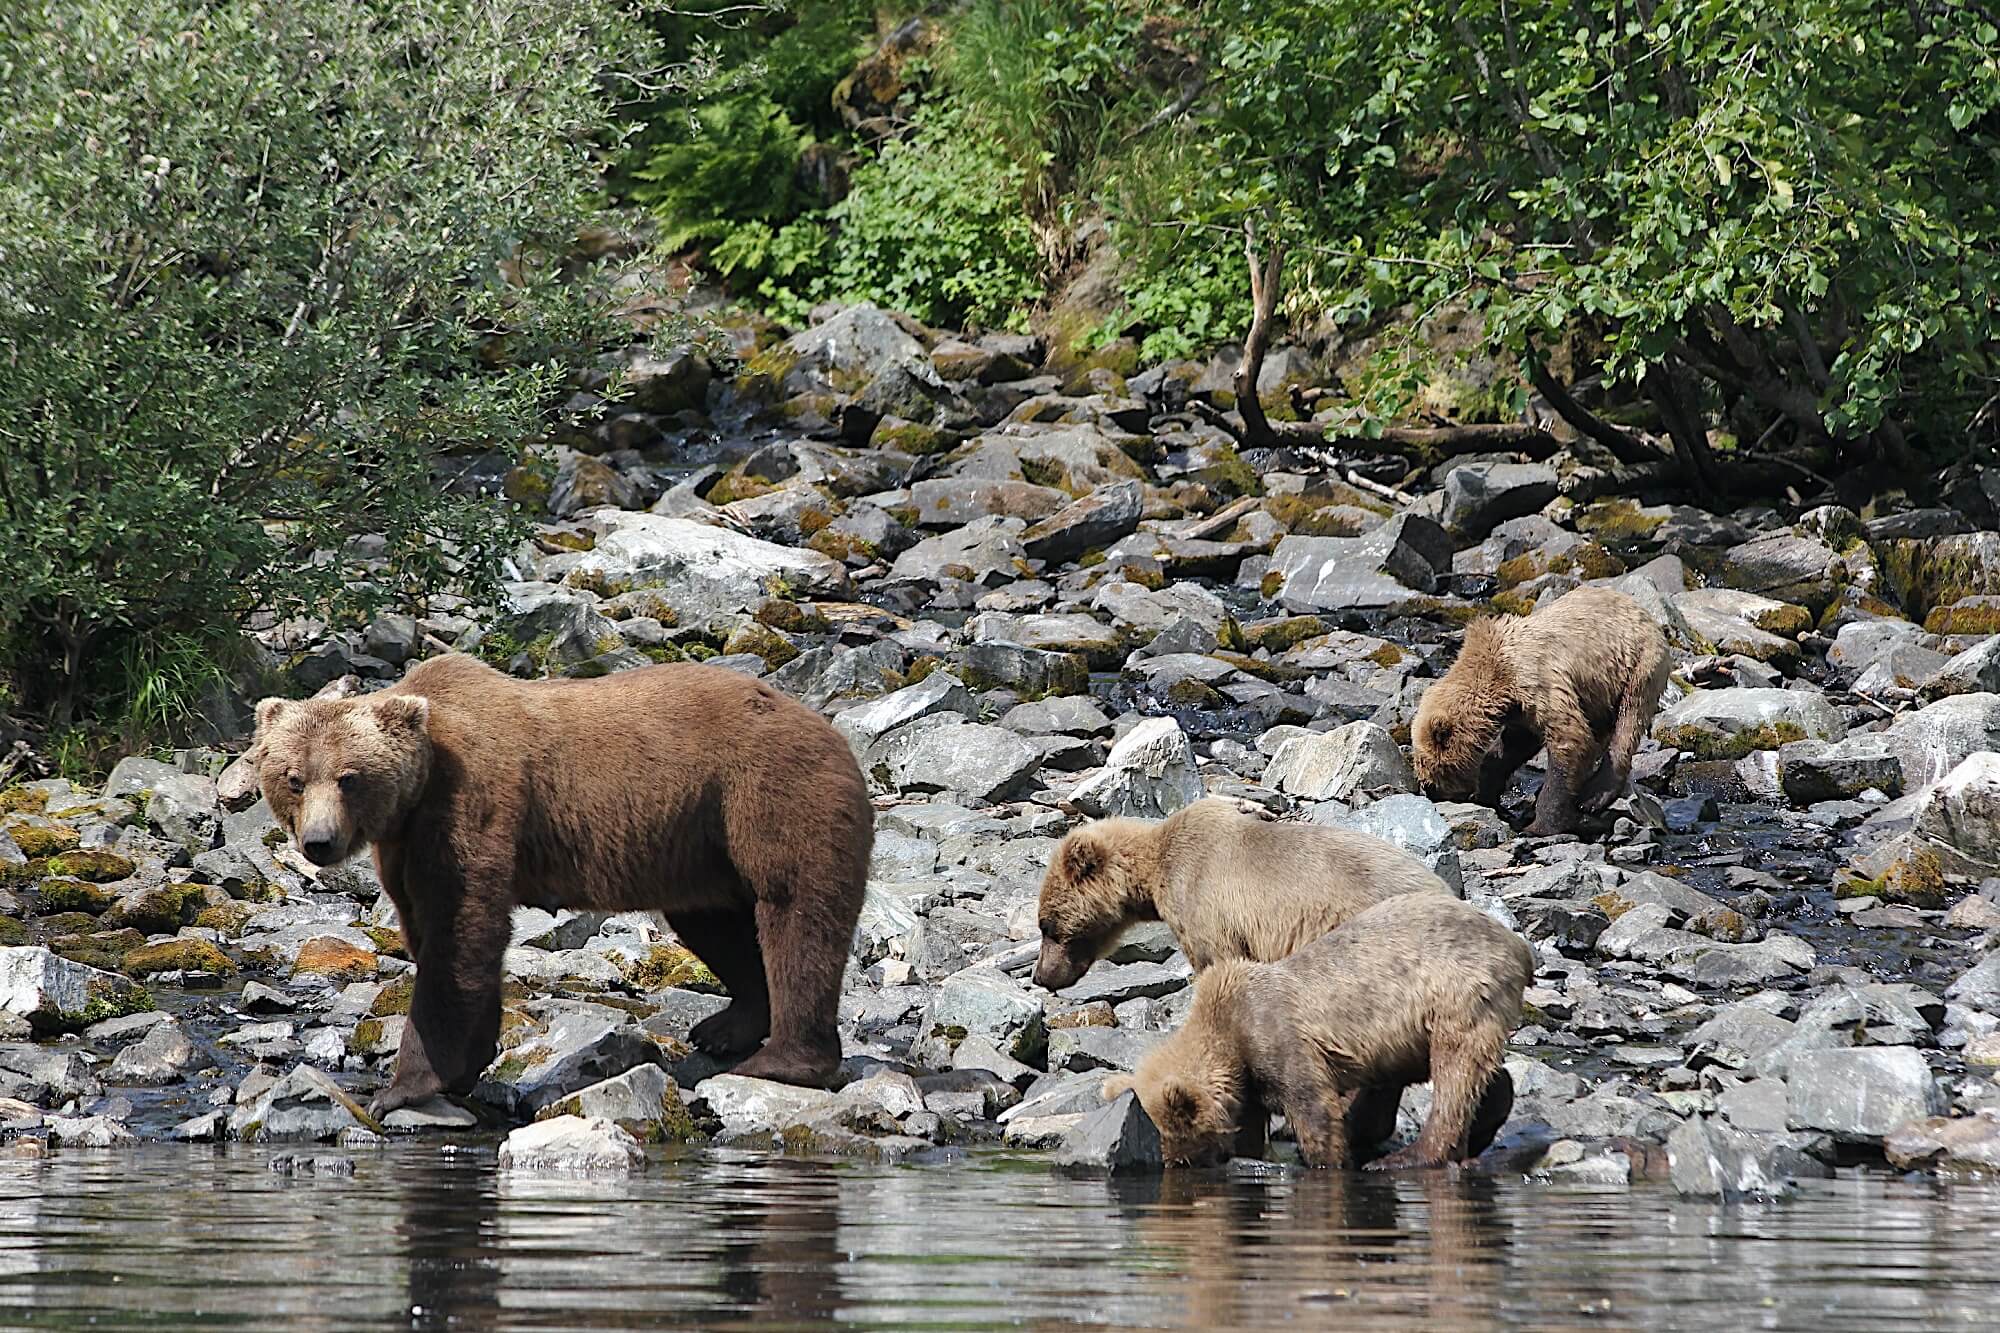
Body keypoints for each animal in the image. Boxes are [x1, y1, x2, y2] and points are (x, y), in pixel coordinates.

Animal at [246, 652, 872, 1112]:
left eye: (349, 778)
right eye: (294, 777)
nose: (319, 843)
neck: (417, 790)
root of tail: (827, 726)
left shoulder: (470, 806)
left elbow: (460, 934)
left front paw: (405, 1087)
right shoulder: (406, 844)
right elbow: (431, 930)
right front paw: (467, 1065)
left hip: (769, 792)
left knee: (795, 913)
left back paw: (783, 1060)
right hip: (699, 842)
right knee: (714, 921)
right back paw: (728, 1026)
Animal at [1112, 892, 1528, 1160]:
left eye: (1176, 1153)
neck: (1228, 1032)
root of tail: (1517, 944)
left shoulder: (1278, 1038)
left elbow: (1315, 1111)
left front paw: (1323, 1158)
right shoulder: (1248, 1079)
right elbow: (1250, 1124)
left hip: (1456, 994)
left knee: (1454, 1073)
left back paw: (1410, 1157)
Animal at [1408, 580, 1672, 832]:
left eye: (1426, 764)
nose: (1430, 791)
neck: (1498, 679)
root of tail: (1643, 612)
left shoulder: (1538, 680)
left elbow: (1570, 740)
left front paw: (1538, 826)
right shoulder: (1521, 711)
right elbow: (1512, 747)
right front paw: (1487, 793)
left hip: (1638, 666)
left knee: (1628, 722)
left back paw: (1594, 796)